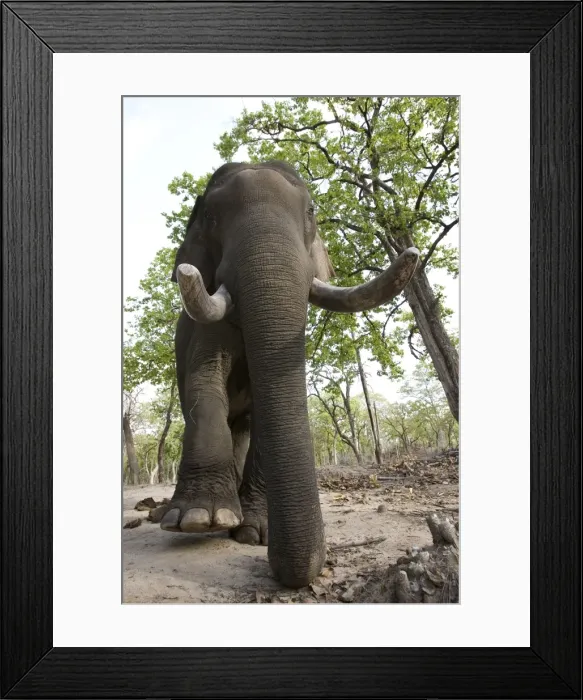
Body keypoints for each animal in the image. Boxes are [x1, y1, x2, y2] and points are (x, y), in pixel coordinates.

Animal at [161, 160, 419, 588]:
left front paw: (255, 532)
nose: (284, 568)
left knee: (244, 426)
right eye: (211, 217)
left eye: (311, 213)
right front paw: (198, 519)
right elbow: (204, 379)